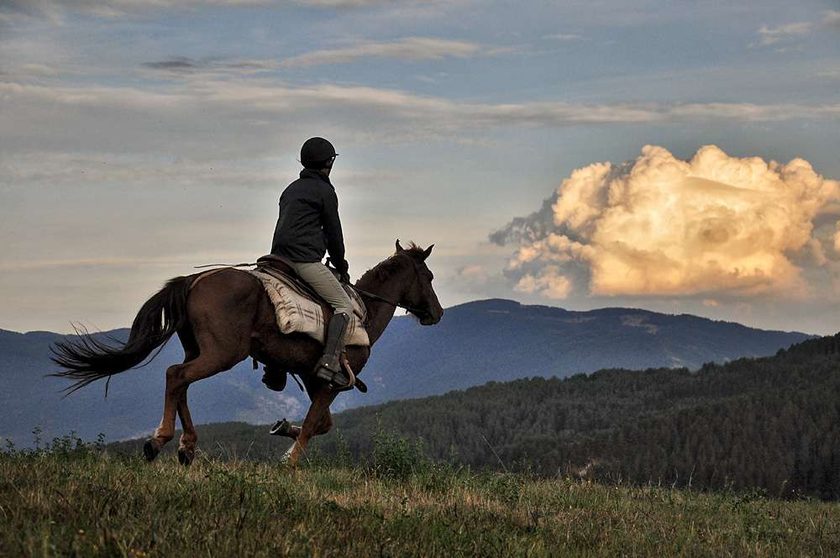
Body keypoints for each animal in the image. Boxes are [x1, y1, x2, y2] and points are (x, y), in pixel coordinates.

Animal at [51, 240, 443, 466]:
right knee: (176, 375)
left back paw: (186, 447)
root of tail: (194, 282)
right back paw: (159, 440)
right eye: (429, 276)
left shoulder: (313, 378)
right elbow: (315, 423)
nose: (437, 313)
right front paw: (290, 460)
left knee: (181, 383)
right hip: (221, 354)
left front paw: (283, 428)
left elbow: (322, 424)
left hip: (200, 350)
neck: (364, 311)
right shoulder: (332, 382)